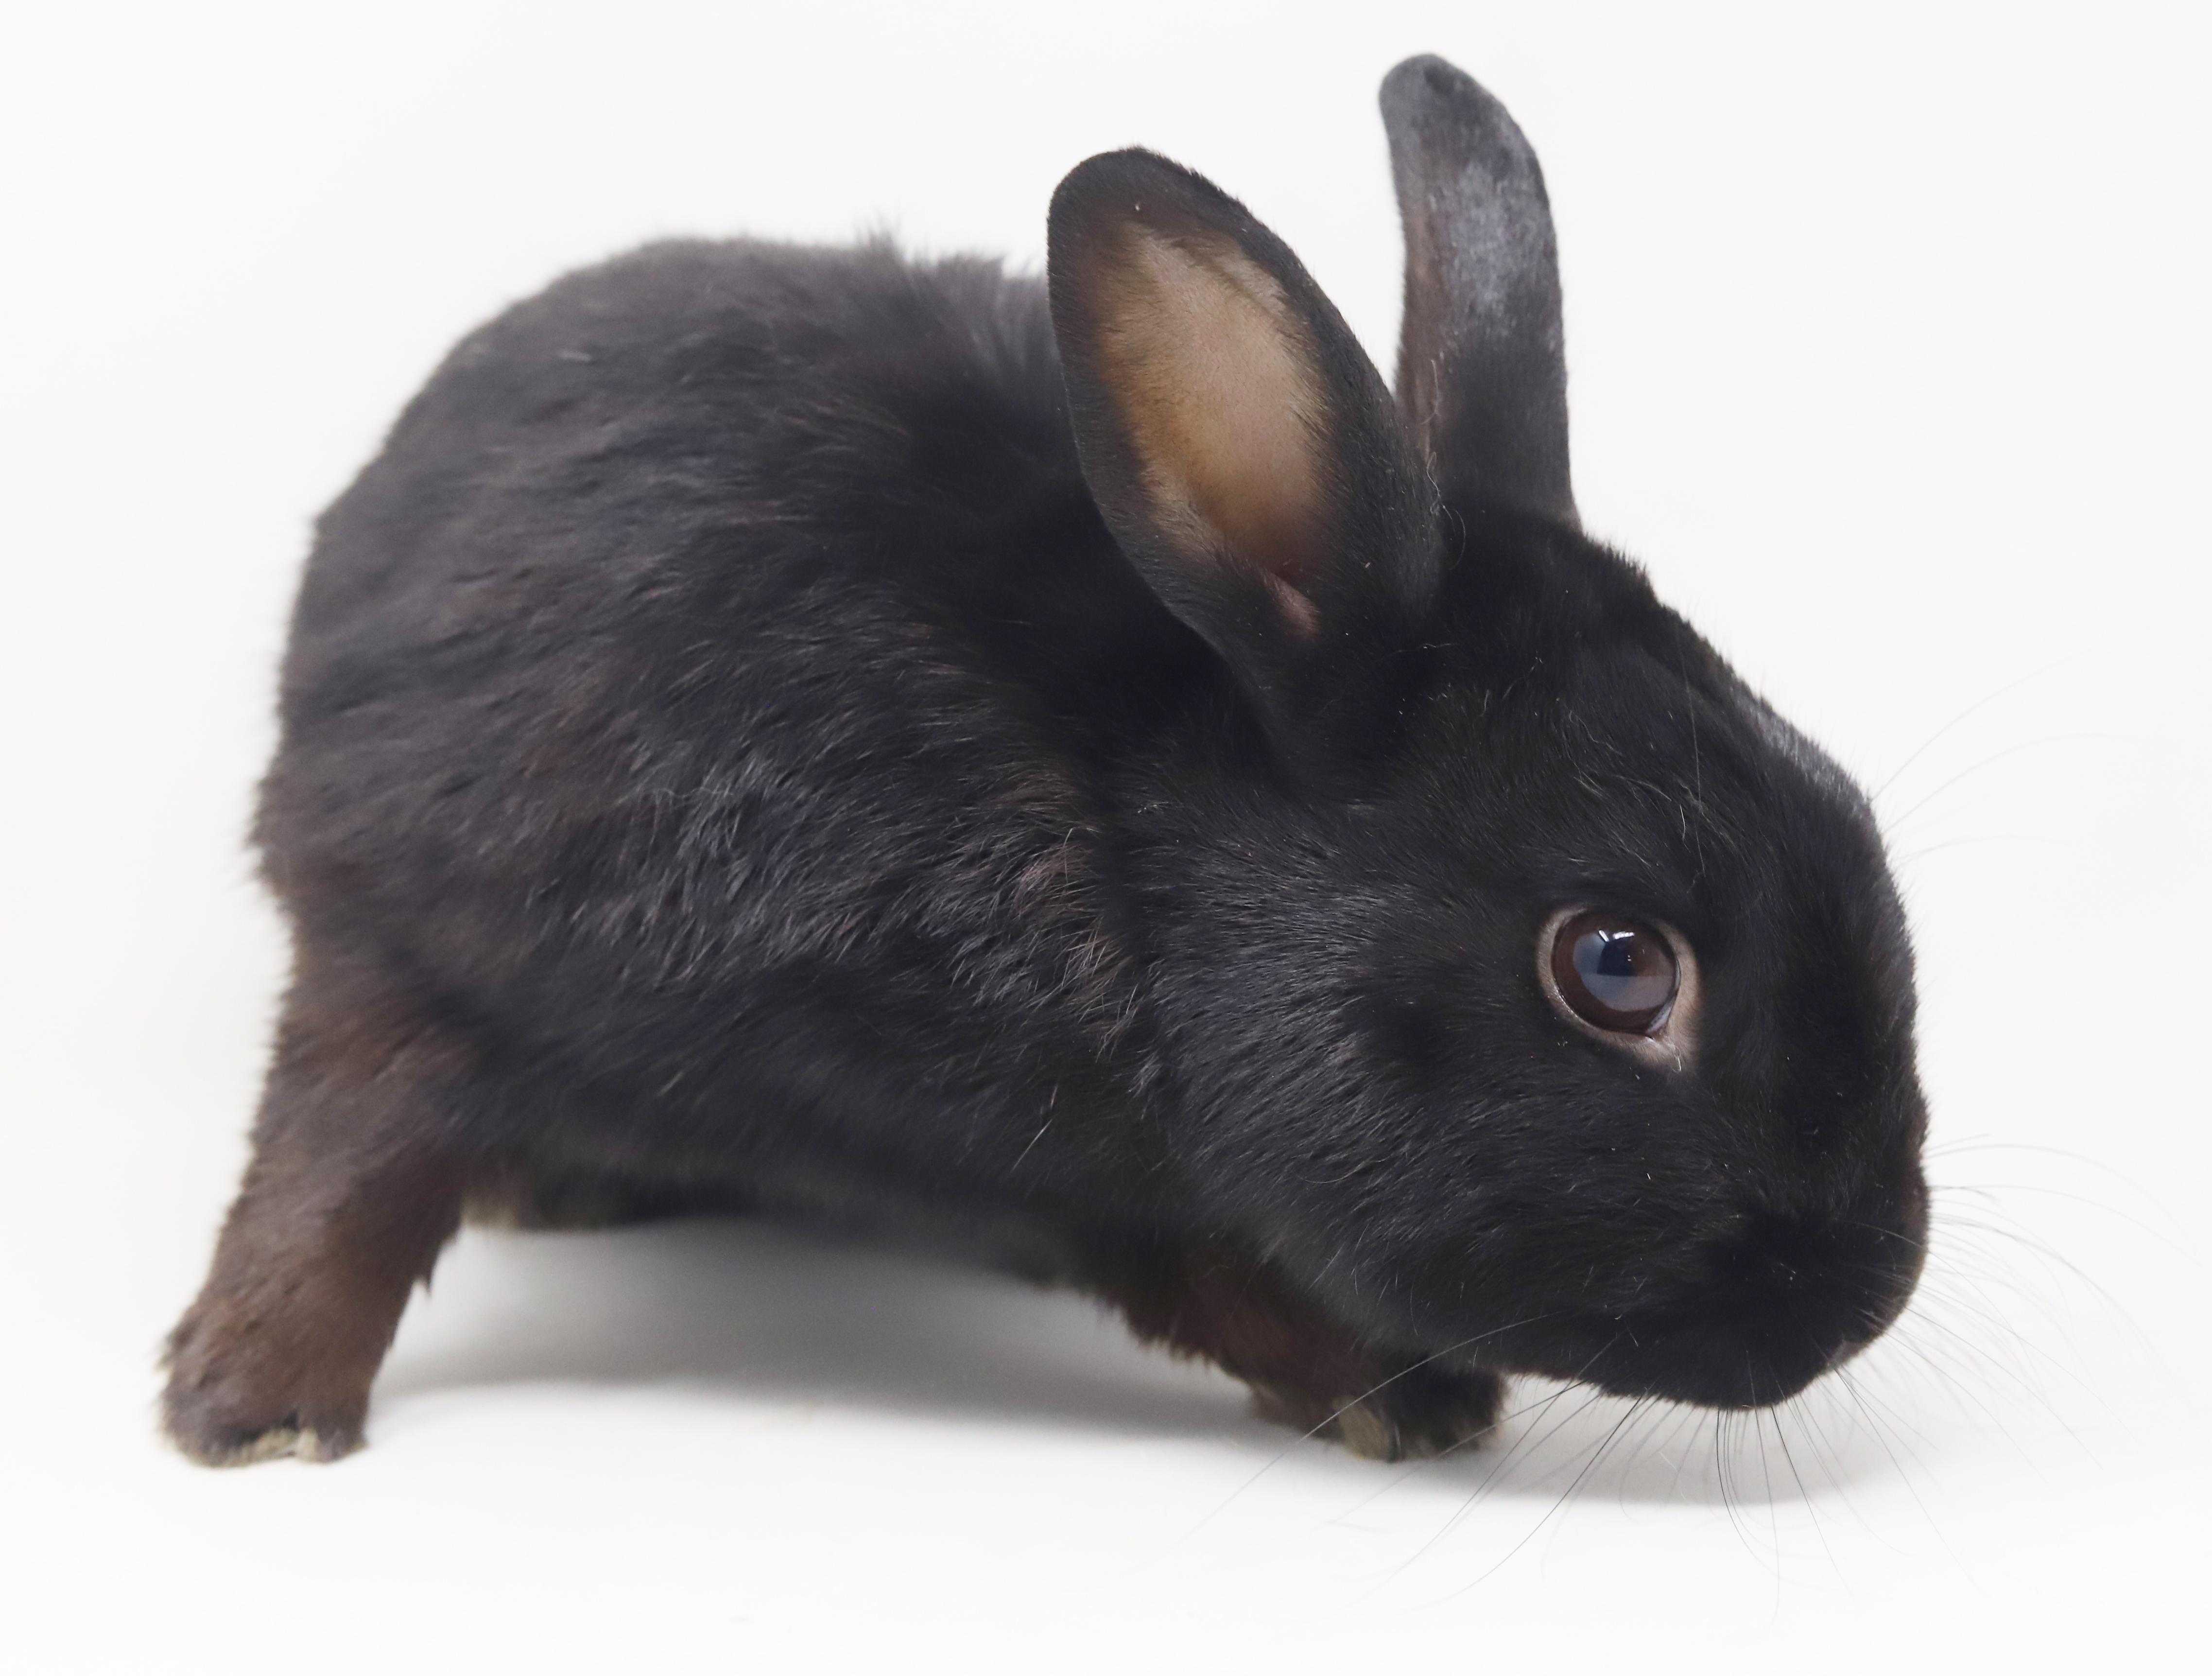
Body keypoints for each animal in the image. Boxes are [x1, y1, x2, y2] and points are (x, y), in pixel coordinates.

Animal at [161, 54, 1929, 1468]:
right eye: (1618, 967)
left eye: (1852, 812)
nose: (1861, 1300)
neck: (1120, 841)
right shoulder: (418, 935)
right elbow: (343, 1160)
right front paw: (248, 1413)